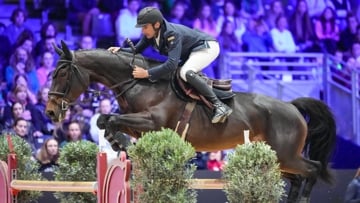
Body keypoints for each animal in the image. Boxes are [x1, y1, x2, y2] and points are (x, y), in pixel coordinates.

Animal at [45, 41, 338, 203]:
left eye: (62, 73)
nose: (50, 112)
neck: (140, 82)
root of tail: (292, 106)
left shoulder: (152, 122)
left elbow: (111, 119)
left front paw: (120, 144)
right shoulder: (137, 124)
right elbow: (107, 120)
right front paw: (119, 144)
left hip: (286, 155)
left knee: (312, 169)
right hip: (276, 158)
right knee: (298, 178)